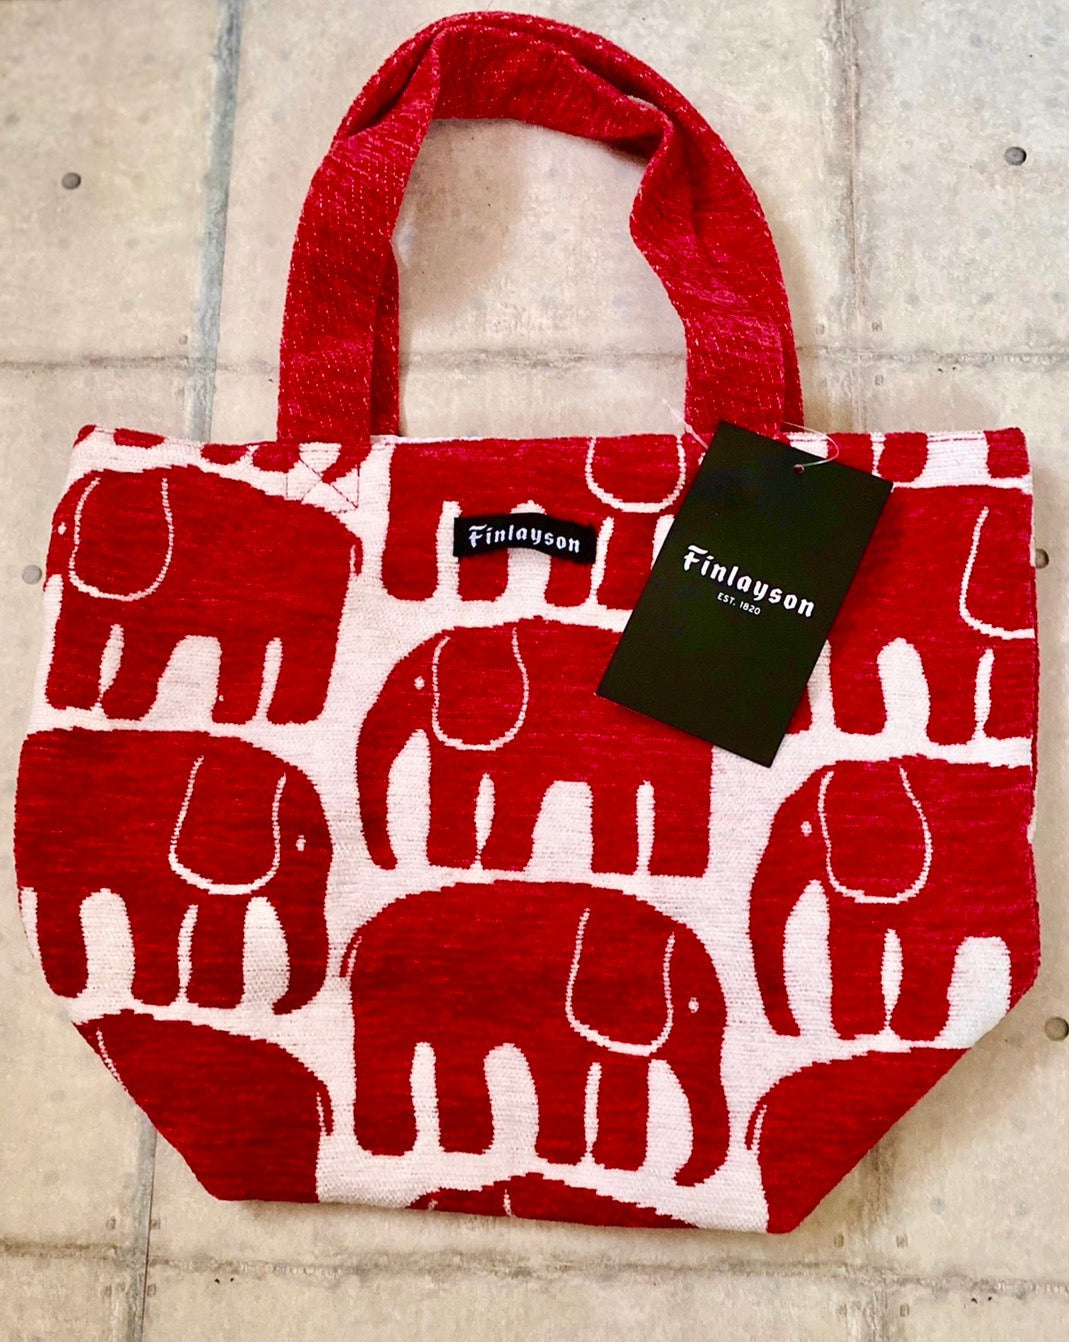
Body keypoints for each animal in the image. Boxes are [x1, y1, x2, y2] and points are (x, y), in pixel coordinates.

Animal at [45, 465, 358, 723]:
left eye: (132, 535)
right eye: (61, 528)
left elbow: (144, 644)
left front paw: (119, 706)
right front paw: (72, 701)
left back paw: (285, 716)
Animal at [348, 881, 729, 1187]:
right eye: (694, 1005)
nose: (680, 1178)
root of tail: (362, 931)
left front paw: (616, 1166)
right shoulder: (557, 1008)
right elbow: (559, 1071)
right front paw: (563, 1159)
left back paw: (464, 1148)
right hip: (380, 996)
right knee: (382, 1055)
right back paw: (390, 1148)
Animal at [357, 616, 714, 877]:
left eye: (418, 683)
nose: (390, 863)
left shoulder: (528, 729)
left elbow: (518, 789)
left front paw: (499, 864)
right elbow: (453, 782)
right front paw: (448, 862)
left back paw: (673, 872)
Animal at [748, 756, 1038, 1041]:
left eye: (806, 829)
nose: (792, 1031)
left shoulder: (937, 881)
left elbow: (926, 947)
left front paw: (912, 1032)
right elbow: (853, 940)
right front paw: (859, 1031)